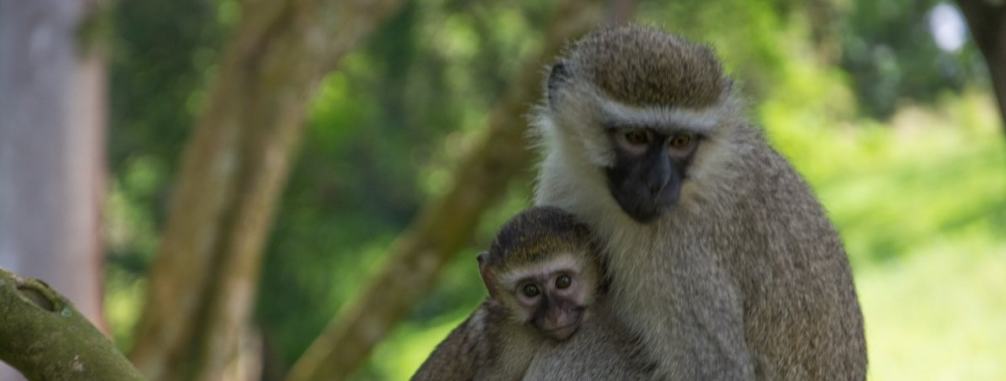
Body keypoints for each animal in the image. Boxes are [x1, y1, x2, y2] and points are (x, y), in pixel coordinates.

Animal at [531, 25, 869, 379]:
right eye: (635, 137)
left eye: (681, 141)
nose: (658, 183)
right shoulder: (560, 177)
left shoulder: (682, 255)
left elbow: (718, 371)